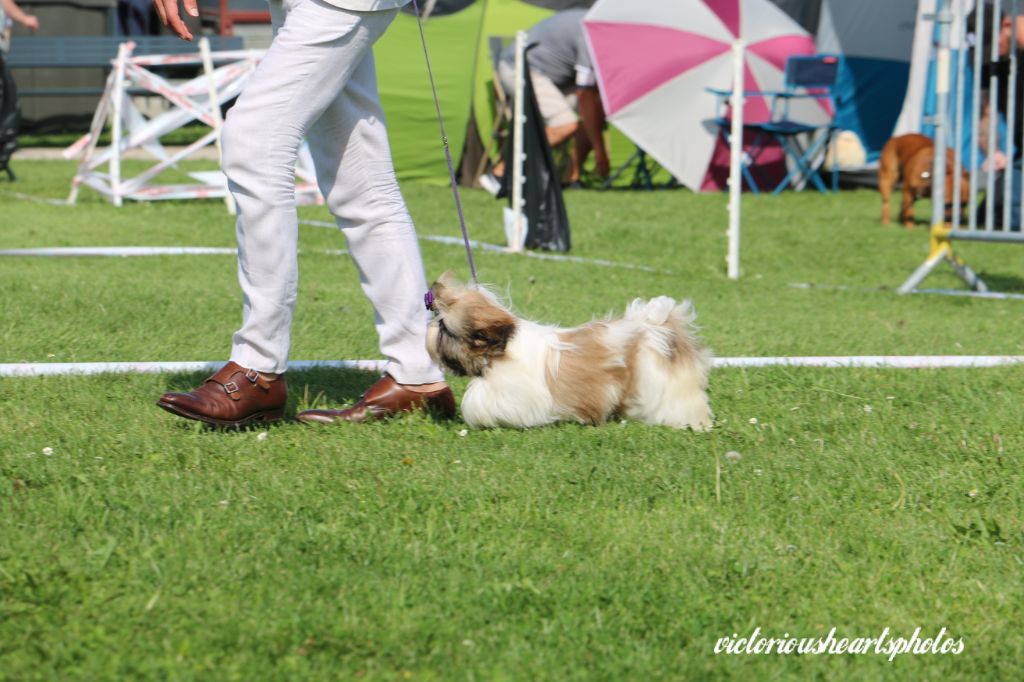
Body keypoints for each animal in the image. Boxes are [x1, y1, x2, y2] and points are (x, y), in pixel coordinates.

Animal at [423, 272, 712, 428]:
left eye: (445, 327)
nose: (430, 327)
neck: (503, 349)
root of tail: (657, 326)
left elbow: (479, 400)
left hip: (659, 379)